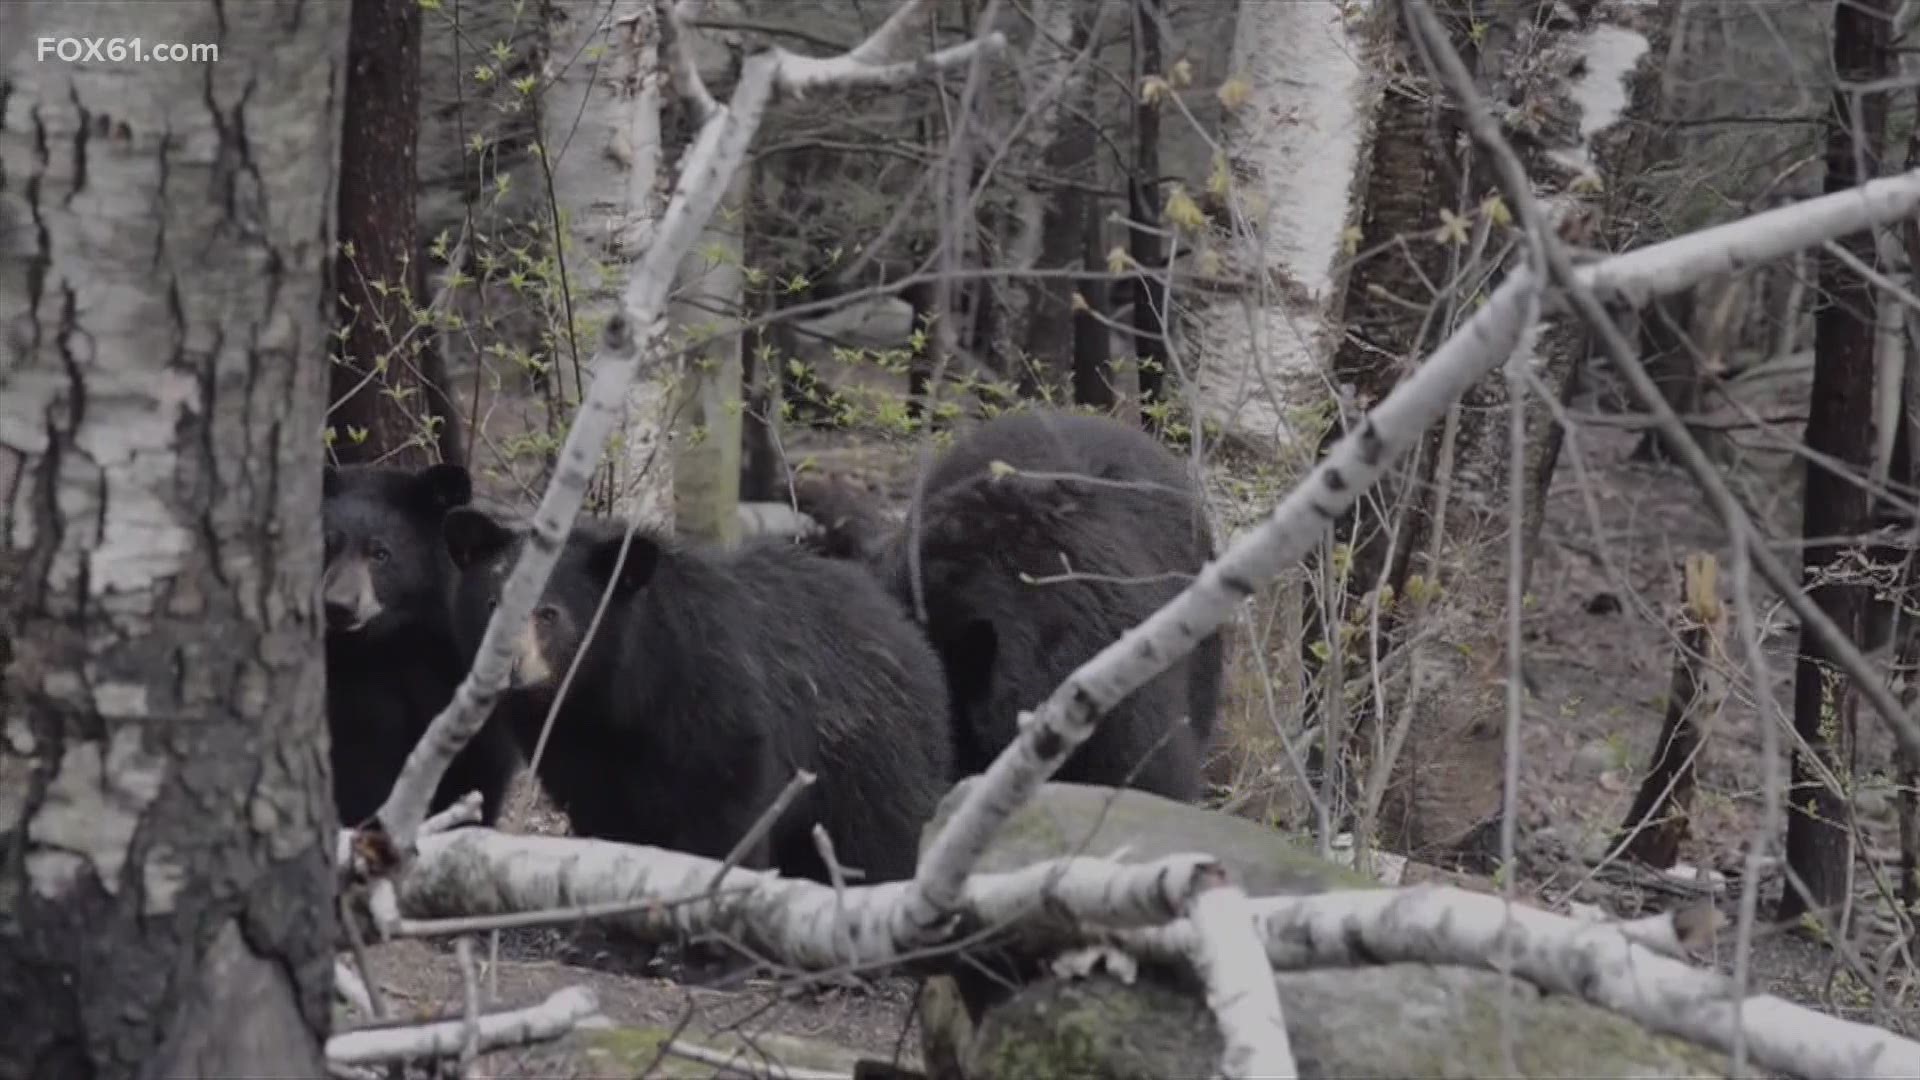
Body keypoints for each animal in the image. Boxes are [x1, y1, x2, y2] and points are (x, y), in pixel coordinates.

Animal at [449, 507, 960, 880]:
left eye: (549, 613)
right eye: (492, 603)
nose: (507, 667)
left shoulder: (711, 695)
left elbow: (727, 800)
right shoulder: (576, 745)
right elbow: (605, 811)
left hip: (871, 750)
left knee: (881, 834)